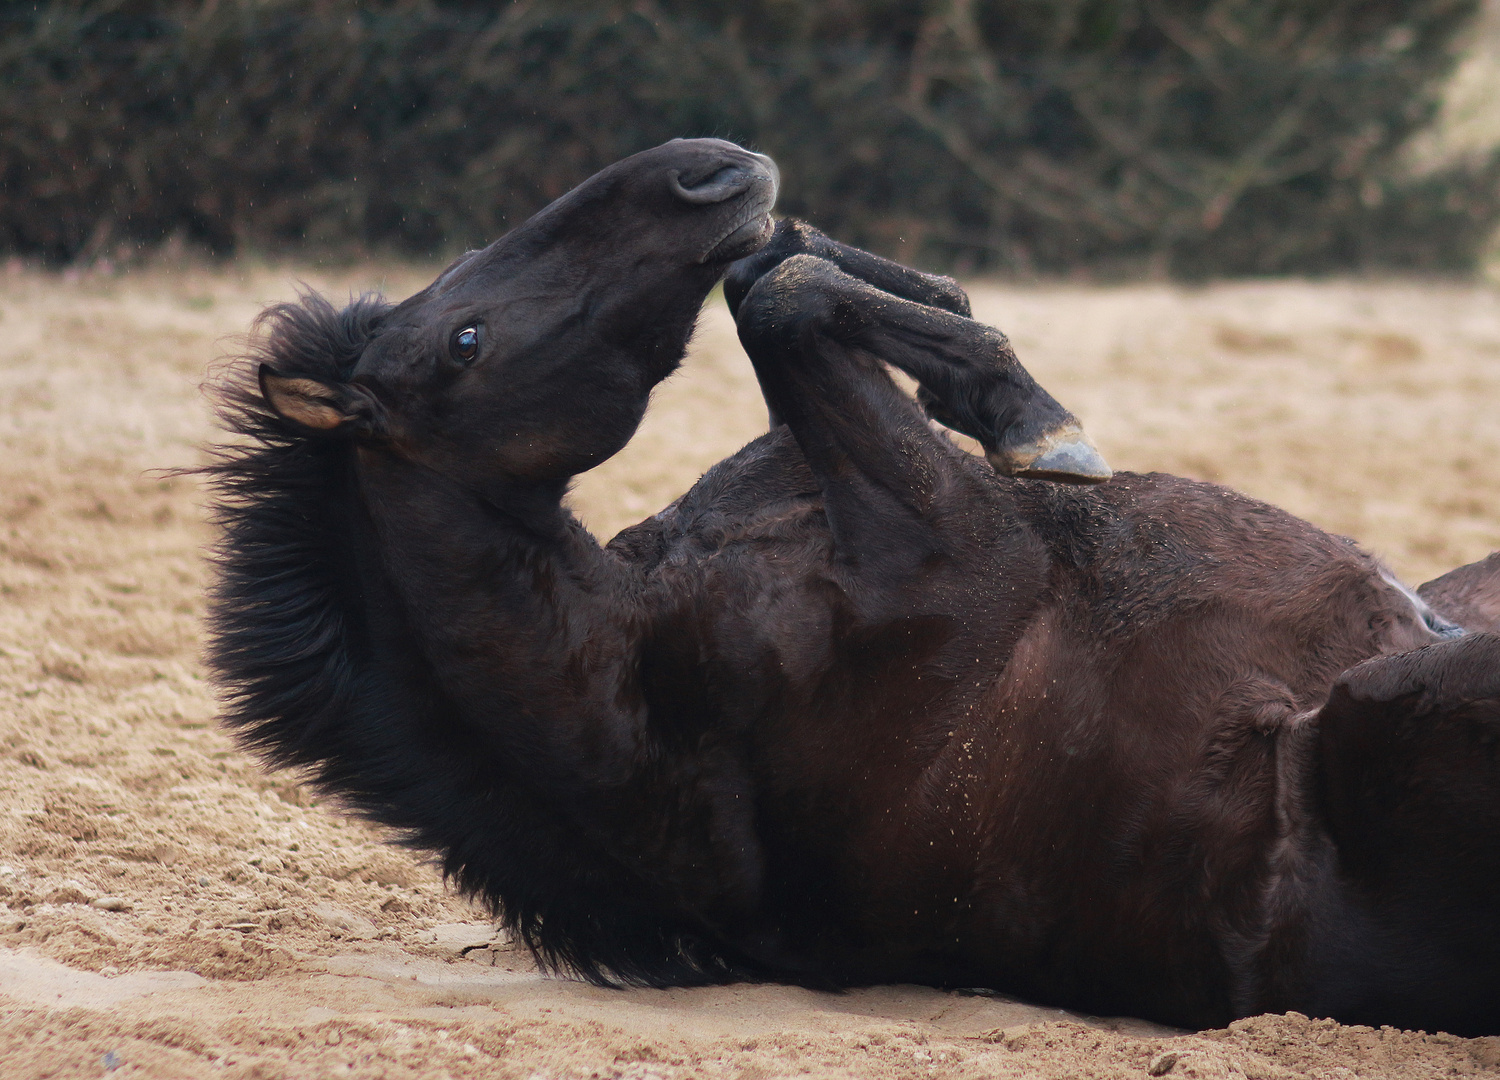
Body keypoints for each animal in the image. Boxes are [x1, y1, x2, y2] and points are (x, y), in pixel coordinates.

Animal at [202, 139, 1500, 1032]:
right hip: (1410, 696)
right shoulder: (959, 540)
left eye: (463, 273)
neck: (650, 685)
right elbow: (783, 300)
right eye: (464, 343)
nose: (700, 171)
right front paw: (1037, 421)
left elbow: (782, 266)